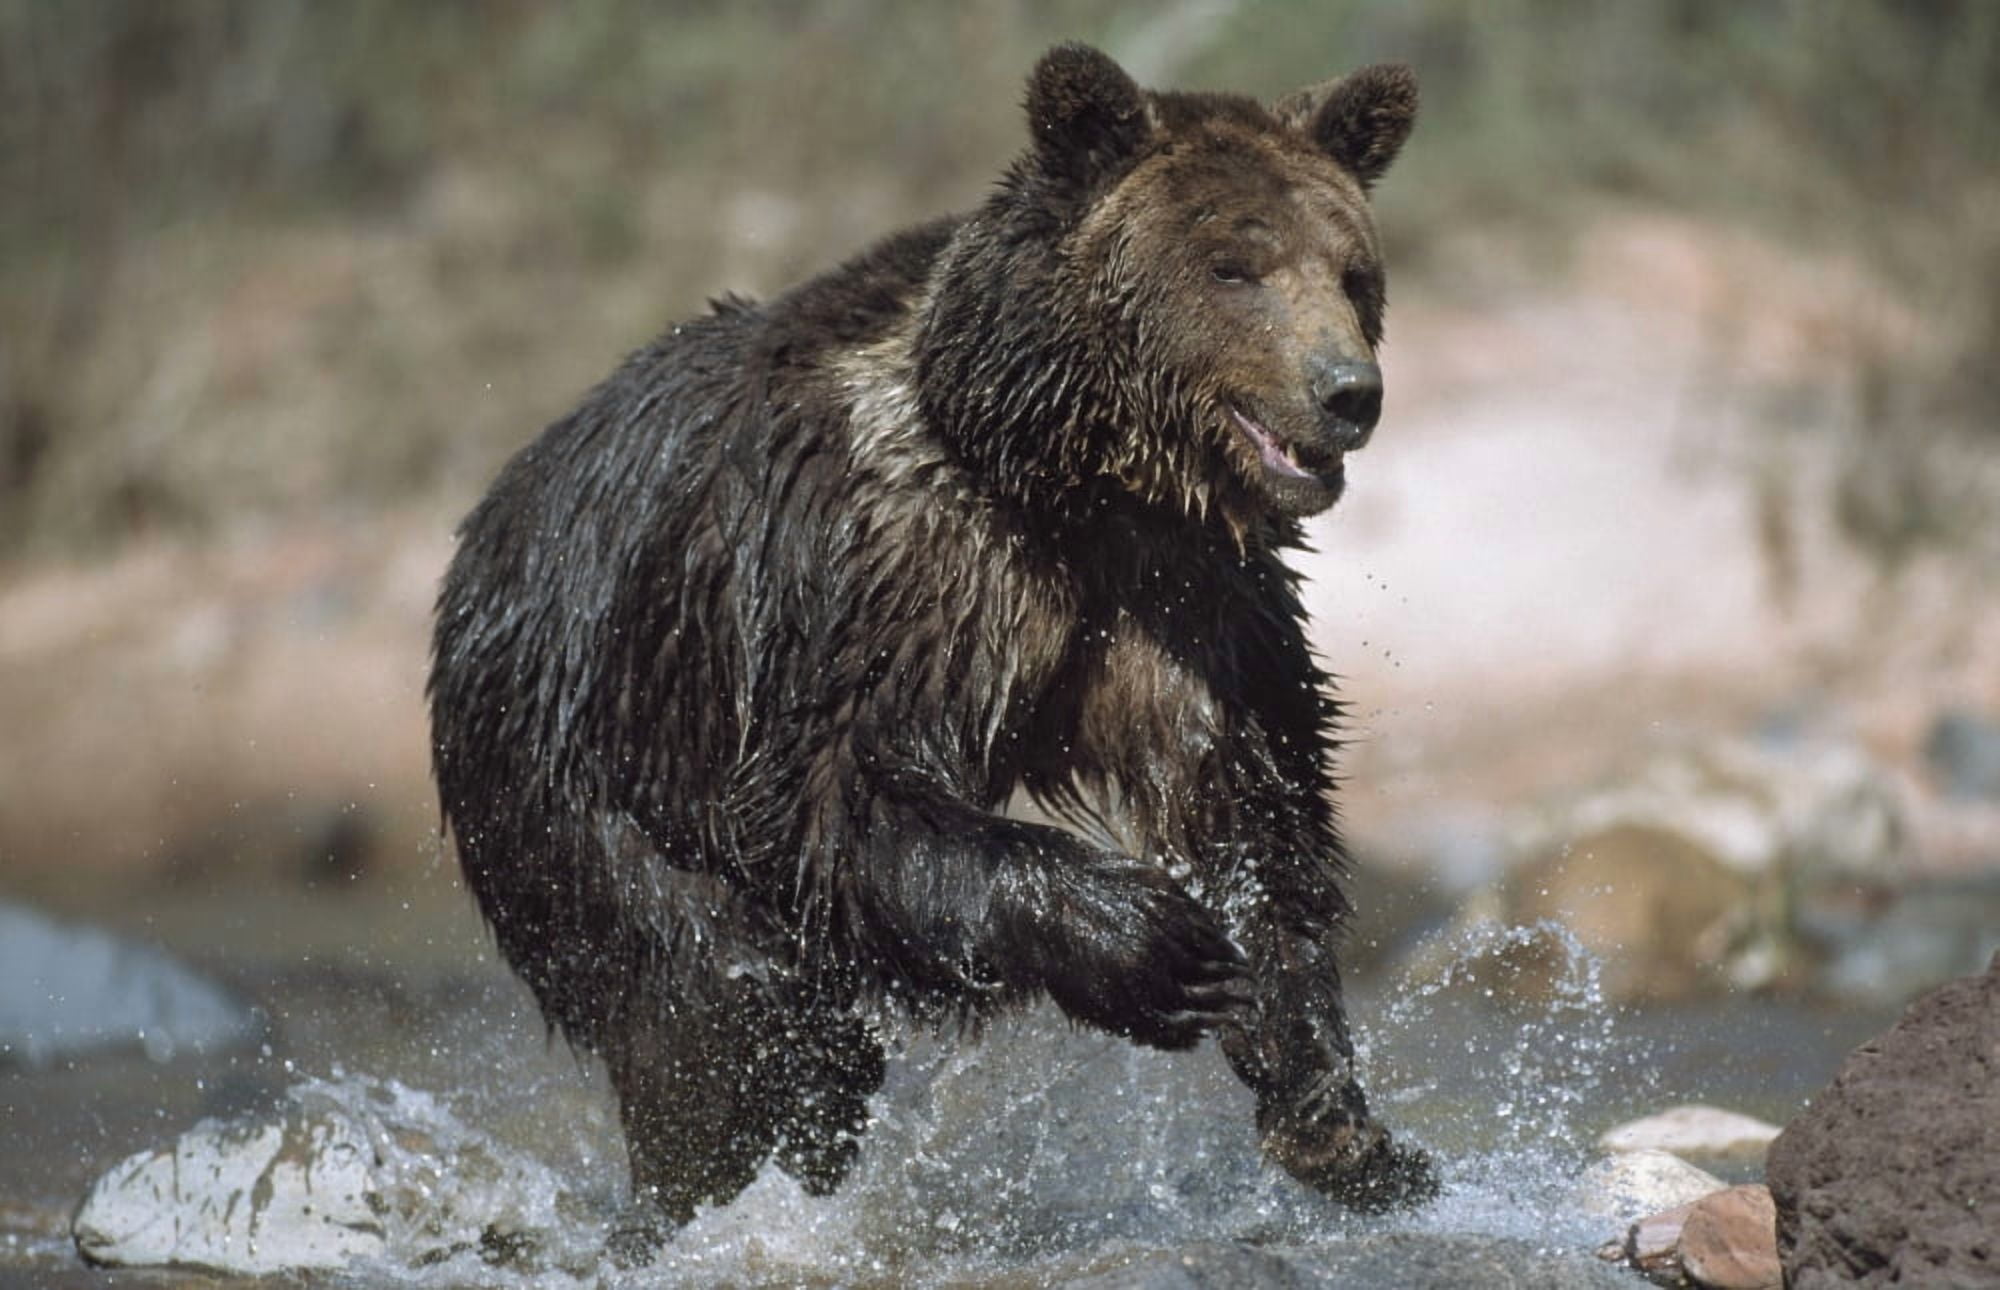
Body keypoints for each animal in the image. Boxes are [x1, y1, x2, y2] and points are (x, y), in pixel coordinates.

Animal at [428, 43, 1433, 1238]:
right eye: (1235, 266)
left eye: (1352, 273)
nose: (1347, 393)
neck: (1055, 467)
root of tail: (480, 534)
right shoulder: (890, 572)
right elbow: (833, 796)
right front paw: (1151, 943)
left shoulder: (1190, 599)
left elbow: (1248, 802)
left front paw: (1337, 1117)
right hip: (573, 770)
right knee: (720, 1016)